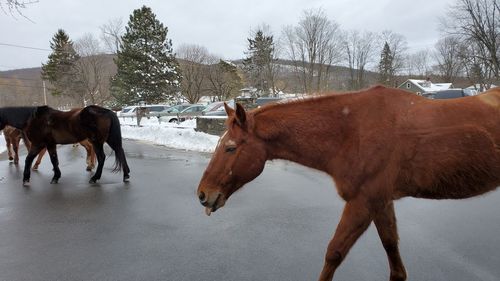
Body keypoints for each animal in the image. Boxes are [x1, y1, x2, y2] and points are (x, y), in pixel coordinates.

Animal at [0, 104, 131, 185]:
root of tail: (107, 111)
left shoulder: (38, 144)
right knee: (120, 151)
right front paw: (56, 177)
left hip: (97, 141)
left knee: (101, 157)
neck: (33, 119)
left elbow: (28, 159)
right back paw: (126, 175)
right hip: (109, 139)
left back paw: (94, 178)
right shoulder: (50, 144)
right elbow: (54, 160)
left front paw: (26, 179)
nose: (5, 133)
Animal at [196, 84, 500, 278]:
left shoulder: (363, 202)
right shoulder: (381, 202)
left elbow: (333, 253)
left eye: (230, 148)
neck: (351, 131)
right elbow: (393, 256)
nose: (202, 194)